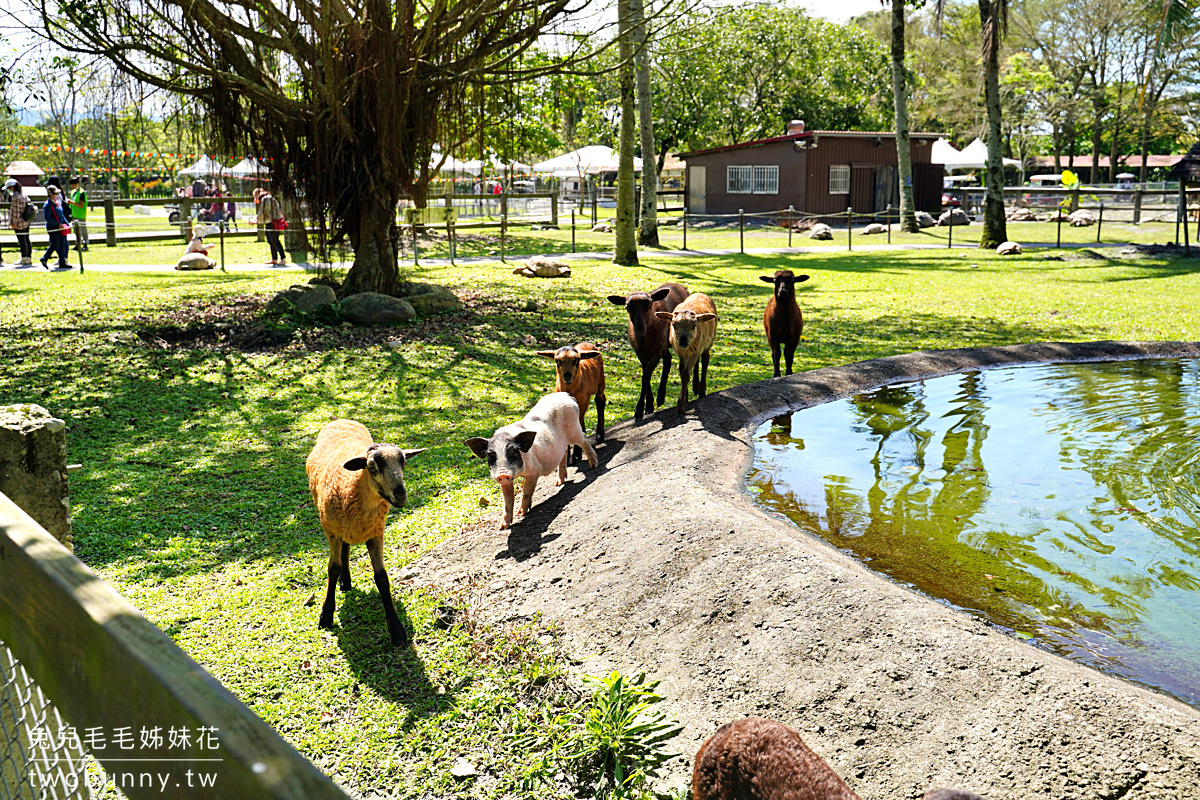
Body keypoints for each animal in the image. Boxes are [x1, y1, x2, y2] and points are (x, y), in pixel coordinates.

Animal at [307, 422, 424, 647]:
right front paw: (326, 615)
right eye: (372, 468)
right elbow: (333, 568)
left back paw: (346, 581)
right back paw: (344, 582)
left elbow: (381, 577)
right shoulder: (332, 531)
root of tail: (340, 419)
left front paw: (396, 630)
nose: (400, 495)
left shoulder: (375, 533)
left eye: (403, 463)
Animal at [463, 391, 595, 527]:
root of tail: (566, 396)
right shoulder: (505, 482)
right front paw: (503, 527)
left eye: (513, 451)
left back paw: (594, 466)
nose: (502, 474)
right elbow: (508, 501)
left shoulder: (535, 470)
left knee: (584, 439)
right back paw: (559, 483)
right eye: (491, 455)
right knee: (563, 454)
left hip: (575, 430)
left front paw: (521, 513)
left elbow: (526, 491)